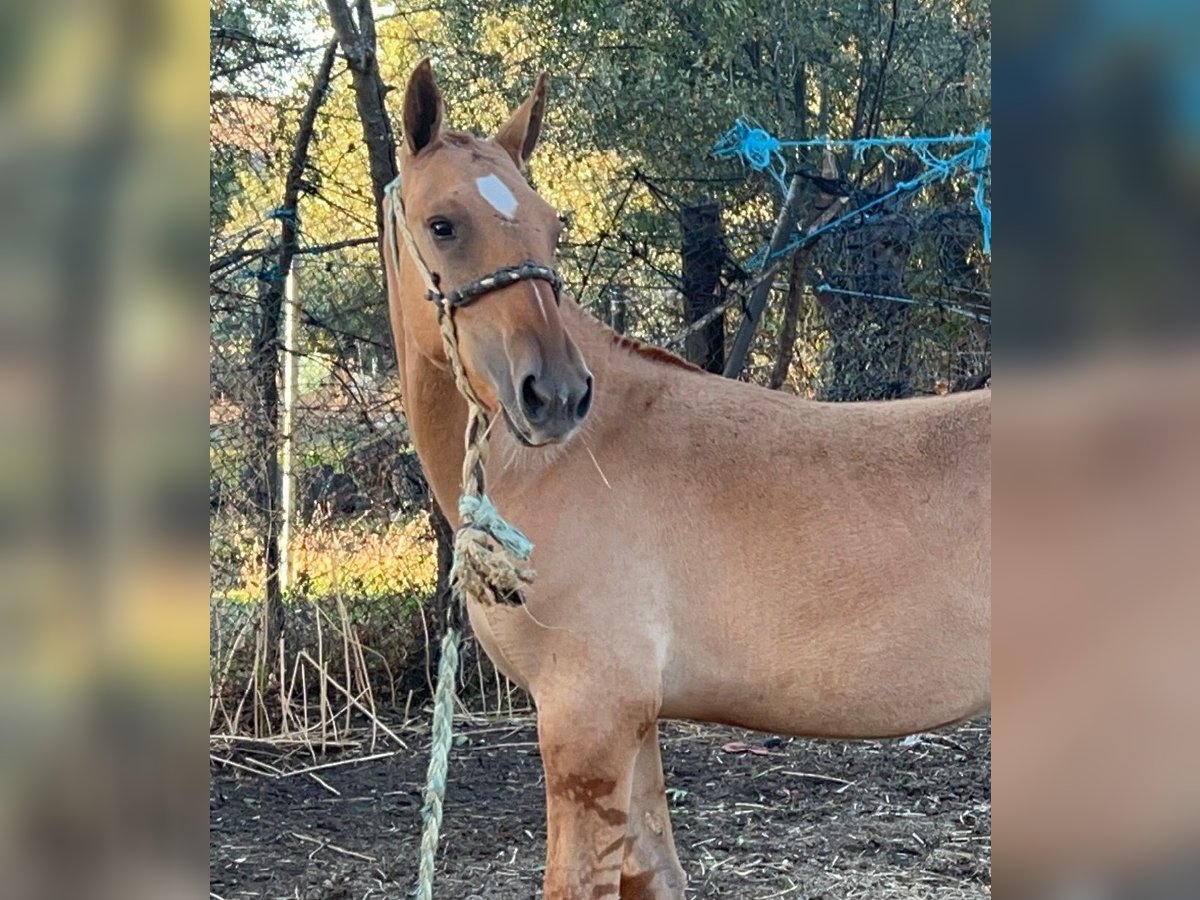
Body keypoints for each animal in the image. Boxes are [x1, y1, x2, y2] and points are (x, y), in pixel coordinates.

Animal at [386, 58, 993, 900]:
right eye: (442, 223)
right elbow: (655, 871)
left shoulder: (587, 717)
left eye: (551, 226)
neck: (570, 460)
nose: (556, 395)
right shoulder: (633, 721)